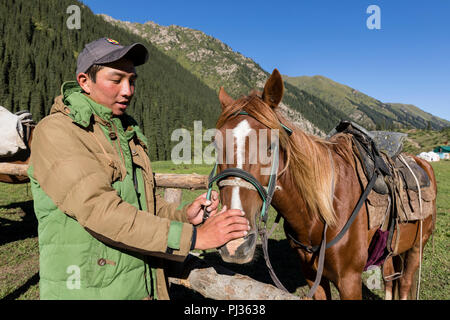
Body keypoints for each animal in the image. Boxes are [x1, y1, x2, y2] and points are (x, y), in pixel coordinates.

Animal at [213, 68, 438, 300]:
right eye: (216, 144)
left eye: (270, 146)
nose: (235, 244)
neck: (324, 211)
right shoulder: (312, 275)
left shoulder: (349, 280)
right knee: (389, 278)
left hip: (417, 247)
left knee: (405, 283)